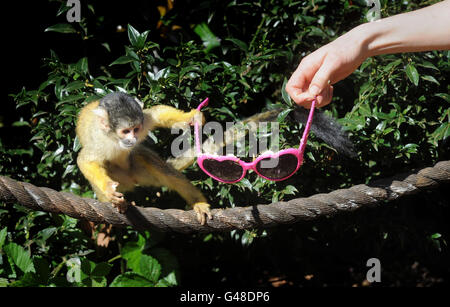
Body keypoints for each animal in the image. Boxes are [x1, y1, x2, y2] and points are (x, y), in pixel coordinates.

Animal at [76, 92, 213, 225]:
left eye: (135, 129)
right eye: (125, 131)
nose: (132, 139)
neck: (114, 139)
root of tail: (131, 180)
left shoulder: (144, 121)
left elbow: (156, 115)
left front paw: (191, 116)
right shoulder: (99, 140)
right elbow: (84, 160)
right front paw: (108, 188)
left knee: (147, 159)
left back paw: (198, 202)